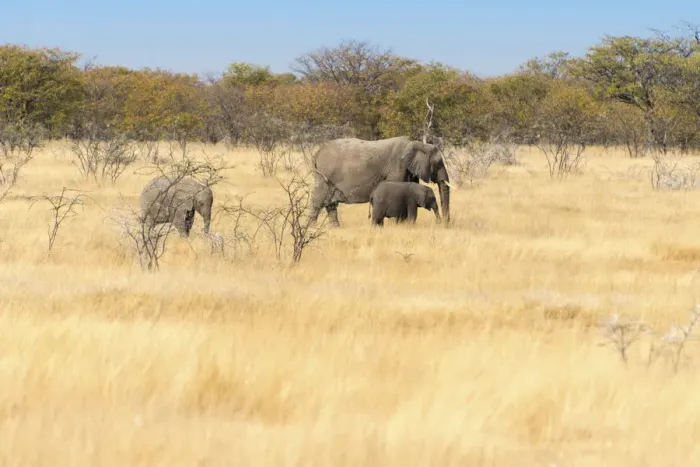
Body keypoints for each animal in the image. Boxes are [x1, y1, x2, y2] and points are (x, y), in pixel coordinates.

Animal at [307, 136, 457, 227]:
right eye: (438, 164)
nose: (444, 224)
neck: (416, 144)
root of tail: (317, 153)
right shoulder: (397, 167)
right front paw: (396, 226)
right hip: (324, 174)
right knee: (319, 201)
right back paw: (312, 228)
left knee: (330, 203)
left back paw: (335, 228)